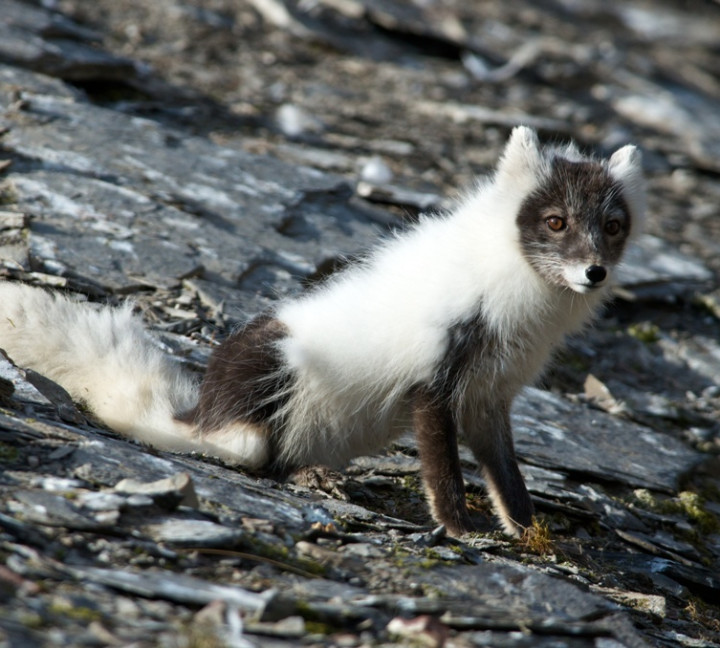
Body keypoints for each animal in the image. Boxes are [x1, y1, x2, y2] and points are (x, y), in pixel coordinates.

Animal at [0, 127, 645, 537]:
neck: (517, 296)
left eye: (613, 226)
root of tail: (198, 408)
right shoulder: (434, 379)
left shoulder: (491, 394)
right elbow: (444, 470)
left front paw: (532, 535)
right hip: (264, 373)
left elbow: (506, 474)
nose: (594, 272)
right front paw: (461, 529)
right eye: (556, 222)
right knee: (245, 450)